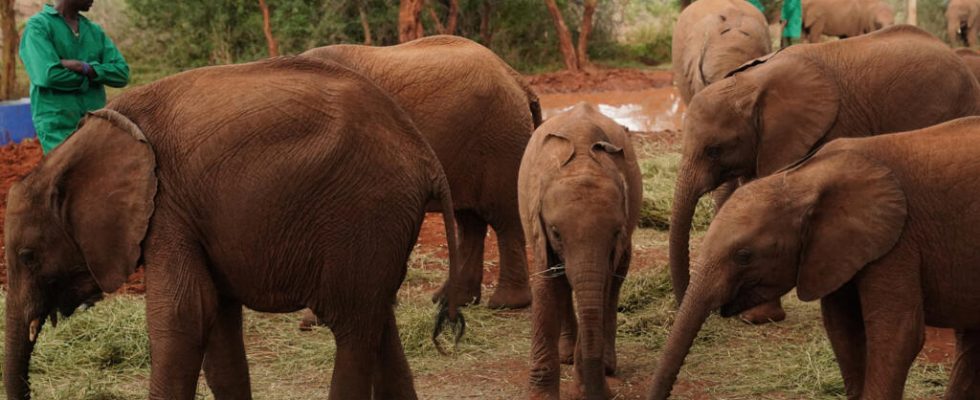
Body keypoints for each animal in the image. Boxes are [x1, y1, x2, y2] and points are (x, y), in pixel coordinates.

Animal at [2, 57, 468, 400]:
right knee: (378, 320)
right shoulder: (193, 216)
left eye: (28, 256)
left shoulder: (167, 208)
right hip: (379, 225)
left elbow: (183, 318)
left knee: (351, 326)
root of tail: (425, 155)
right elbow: (218, 325)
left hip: (362, 213)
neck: (77, 148)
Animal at [302, 34, 540, 312]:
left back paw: (505, 303)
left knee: (503, 217)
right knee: (470, 221)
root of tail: (517, 79)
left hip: (500, 140)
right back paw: (452, 300)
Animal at [516, 104, 648, 400]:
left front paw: (584, 388)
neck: (583, 162)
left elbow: (601, 288)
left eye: (616, 232)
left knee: (613, 285)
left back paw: (606, 365)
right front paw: (541, 396)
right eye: (556, 232)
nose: (606, 395)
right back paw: (567, 356)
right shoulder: (537, 225)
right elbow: (545, 286)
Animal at [652, 116, 980, 400]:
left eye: (744, 256)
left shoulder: (898, 241)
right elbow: (842, 327)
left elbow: (898, 334)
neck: (805, 177)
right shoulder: (832, 250)